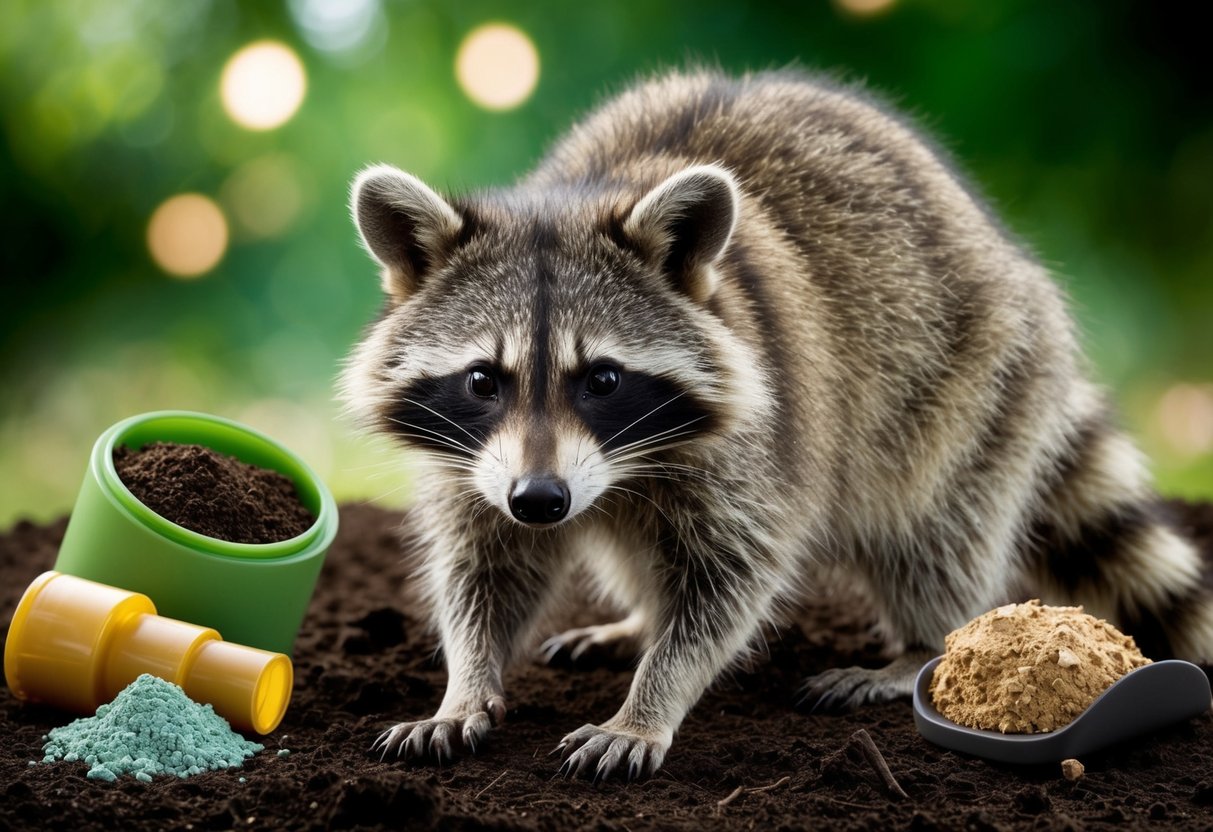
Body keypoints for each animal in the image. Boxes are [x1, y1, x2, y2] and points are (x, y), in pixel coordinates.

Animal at [341, 69, 1210, 781]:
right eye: (482, 380)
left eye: (604, 380)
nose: (541, 501)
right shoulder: (478, 462)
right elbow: (481, 567)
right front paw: (466, 683)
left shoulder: (757, 444)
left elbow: (731, 578)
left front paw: (650, 700)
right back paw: (637, 616)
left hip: (976, 382)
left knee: (935, 524)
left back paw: (920, 644)